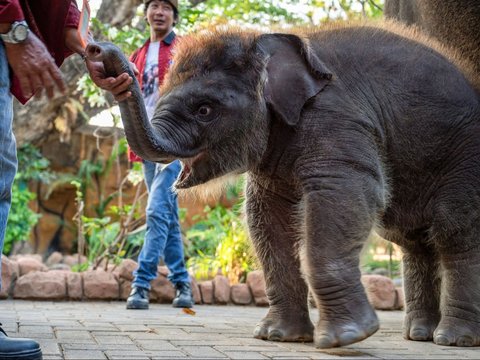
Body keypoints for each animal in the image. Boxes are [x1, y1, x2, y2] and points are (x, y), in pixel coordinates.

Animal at [119, 21, 480, 348]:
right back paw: (420, 335)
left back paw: (453, 339)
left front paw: (346, 337)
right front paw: (278, 336)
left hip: (463, 157)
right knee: (412, 240)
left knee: (455, 231)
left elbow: (343, 194)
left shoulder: (337, 120)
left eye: (204, 110)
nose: (118, 70)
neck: (265, 43)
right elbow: (266, 217)